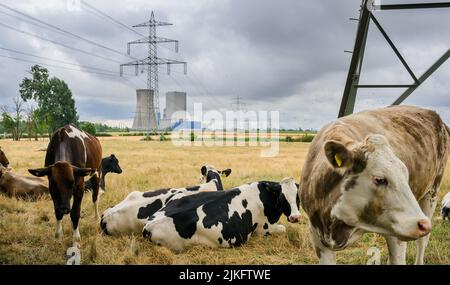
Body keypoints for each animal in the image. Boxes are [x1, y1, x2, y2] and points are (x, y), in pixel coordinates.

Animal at [142, 176, 300, 252]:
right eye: (282, 197)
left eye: (298, 197)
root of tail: (149, 226)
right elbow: (283, 228)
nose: (295, 217)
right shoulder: (264, 229)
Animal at [300, 105, 448, 264]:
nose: (423, 225)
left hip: (431, 194)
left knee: (422, 242)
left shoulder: (396, 235)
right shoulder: (318, 238)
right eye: (379, 179)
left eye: (405, 174)